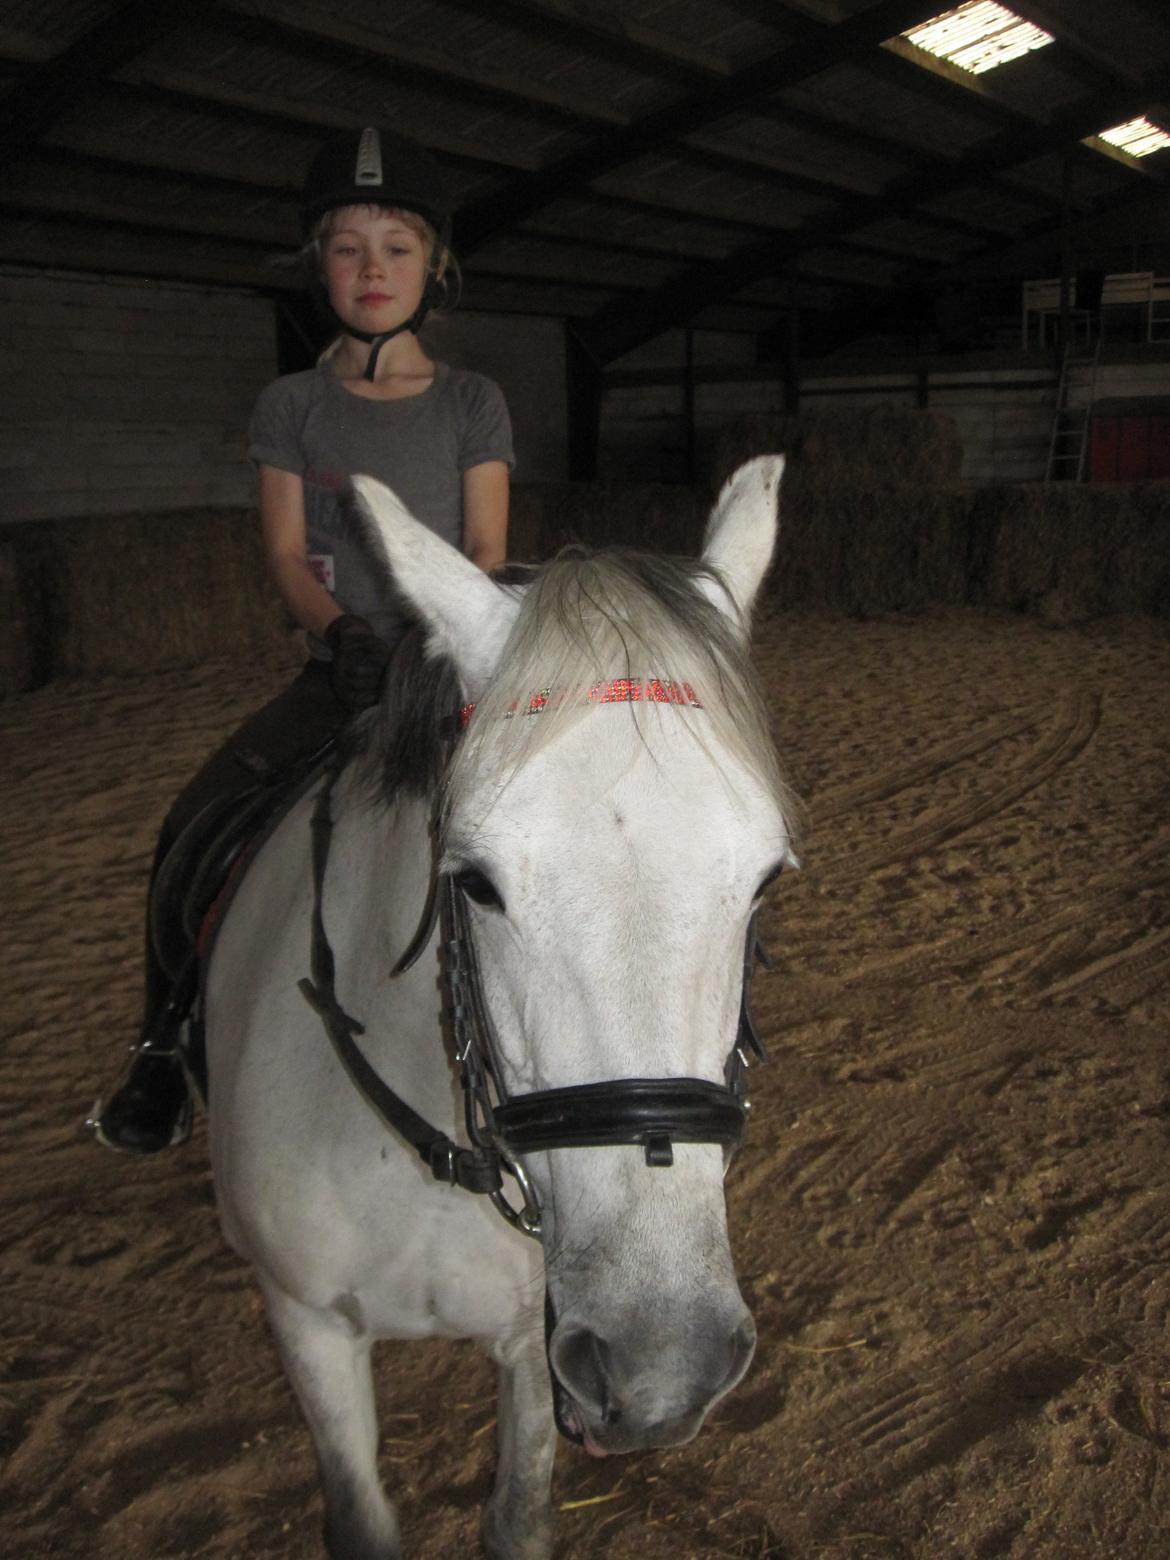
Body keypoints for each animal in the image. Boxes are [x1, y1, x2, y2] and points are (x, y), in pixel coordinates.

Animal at [204, 455, 797, 1559]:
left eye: (764, 882)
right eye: (475, 883)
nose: (665, 1364)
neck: (420, 1146)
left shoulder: (538, 1337)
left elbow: (518, 1515)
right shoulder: (307, 1326)